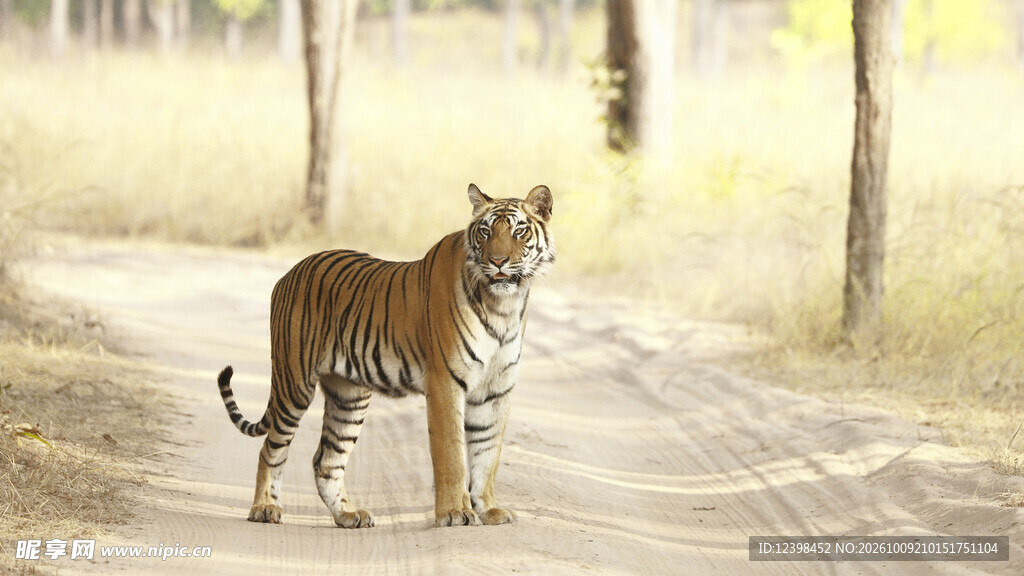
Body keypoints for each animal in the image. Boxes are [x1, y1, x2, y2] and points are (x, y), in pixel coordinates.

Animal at [217, 184, 554, 528]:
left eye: (519, 231)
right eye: (485, 231)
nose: (497, 261)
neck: (503, 307)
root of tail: (290, 272)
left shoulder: (495, 389)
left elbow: (487, 454)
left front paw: (488, 510)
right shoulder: (445, 382)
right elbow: (452, 454)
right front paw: (454, 512)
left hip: (348, 397)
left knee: (326, 460)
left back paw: (348, 515)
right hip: (293, 383)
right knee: (271, 450)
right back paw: (265, 508)